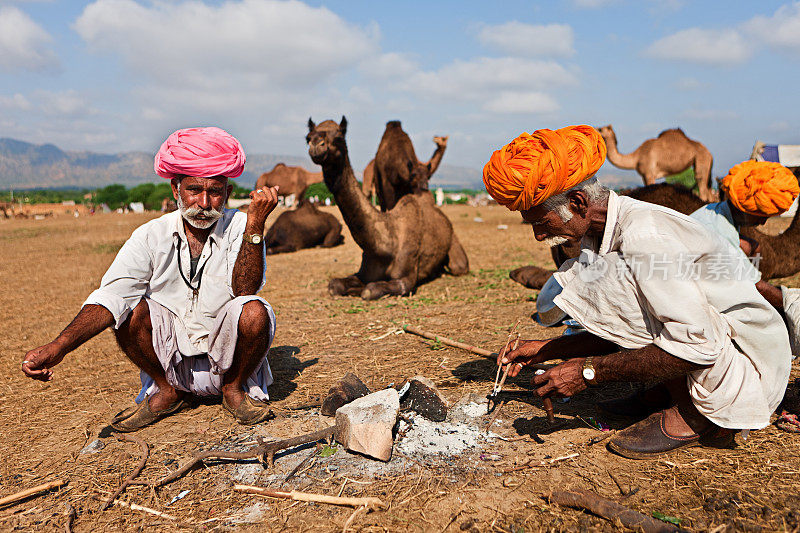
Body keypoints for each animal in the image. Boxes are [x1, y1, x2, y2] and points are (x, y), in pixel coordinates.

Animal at [306, 116, 468, 300]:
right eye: (308, 137)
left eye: (339, 137)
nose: (316, 145)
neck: (385, 245)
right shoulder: (364, 272)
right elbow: (334, 285)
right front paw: (351, 288)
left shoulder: (407, 278)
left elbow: (370, 290)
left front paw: (361, 290)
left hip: (456, 251)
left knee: (459, 266)